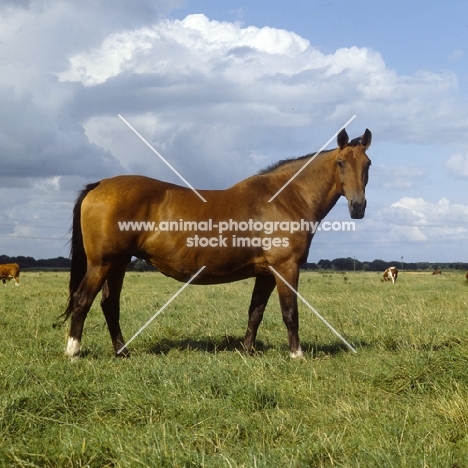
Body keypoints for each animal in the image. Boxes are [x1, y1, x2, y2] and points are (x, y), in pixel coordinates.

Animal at [61, 128, 372, 358]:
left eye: (367, 164)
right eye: (341, 163)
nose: (358, 207)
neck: (284, 198)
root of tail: (99, 185)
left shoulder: (266, 273)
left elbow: (255, 312)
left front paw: (247, 351)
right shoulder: (286, 267)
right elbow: (290, 312)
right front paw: (297, 355)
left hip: (119, 264)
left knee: (109, 305)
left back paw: (122, 351)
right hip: (103, 264)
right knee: (82, 300)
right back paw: (73, 352)